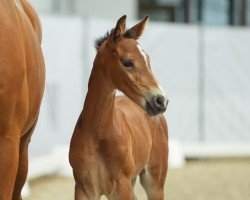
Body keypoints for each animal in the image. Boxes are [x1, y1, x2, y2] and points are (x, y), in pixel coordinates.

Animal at [69, 16, 169, 200]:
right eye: (127, 62)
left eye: (148, 60)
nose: (161, 101)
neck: (97, 134)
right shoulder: (83, 189)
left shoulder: (121, 188)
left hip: (154, 182)